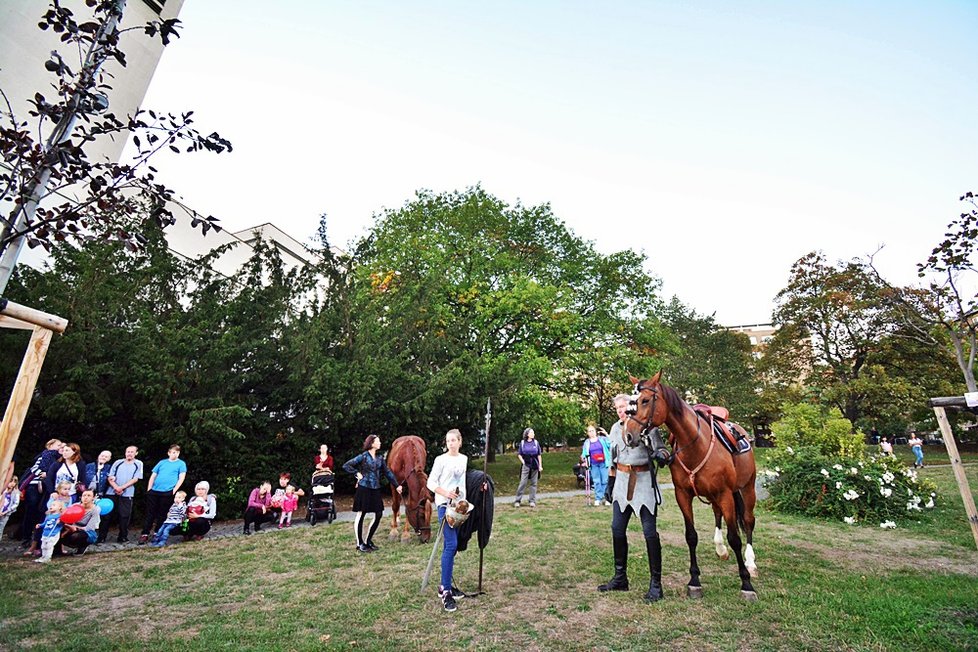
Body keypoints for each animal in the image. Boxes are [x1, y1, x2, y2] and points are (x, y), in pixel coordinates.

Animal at [620, 372, 760, 600]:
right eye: (631, 403)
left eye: (645, 400)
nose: (629, 435)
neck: (696, 444)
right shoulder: (683, 495)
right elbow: (691, 536)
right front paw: (694, 581)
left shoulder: (725, 494)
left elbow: (735, 538)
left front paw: (746, 584)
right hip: (715, 496)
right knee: (717, 514)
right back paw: (720, 549)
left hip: (747, 489)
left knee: (748, 521)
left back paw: (750, 562)